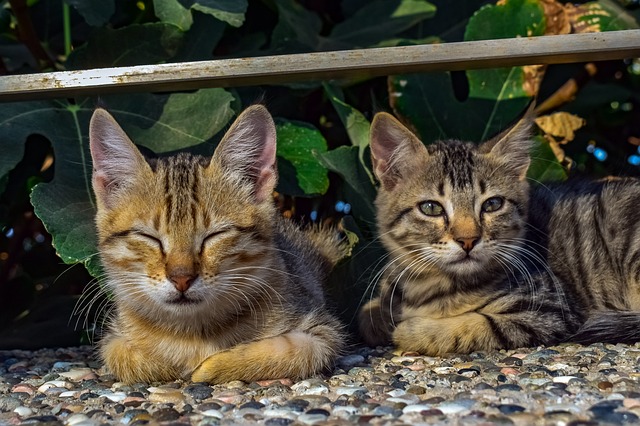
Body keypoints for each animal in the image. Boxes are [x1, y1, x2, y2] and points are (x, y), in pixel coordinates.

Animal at [90, 104, 344, 382]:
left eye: (214, 235)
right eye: (149, 237)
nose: (181, 279)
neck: (191, 333)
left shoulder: (322, 332)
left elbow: (290, 352)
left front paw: (211, 366)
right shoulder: (114, 337)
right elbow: (122, 356)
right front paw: (167, 364)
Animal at [358, 110, 640, 356]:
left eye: (492, 204)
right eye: (431, 208)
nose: (468, 240)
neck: (434, 283)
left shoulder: (548, 310)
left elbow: (478, 325)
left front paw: (410, 330)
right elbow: (366, 313)